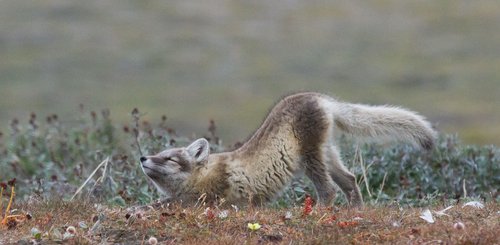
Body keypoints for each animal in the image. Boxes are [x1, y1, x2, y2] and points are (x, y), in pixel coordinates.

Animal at [139, 92, 436, 207]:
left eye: (169, 158)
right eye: (158, 153)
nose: (142, 157)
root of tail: (320, 98)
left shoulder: (210, 199)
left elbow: (161, 204)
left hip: (310, 156)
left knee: (329, 190)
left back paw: (317, 213)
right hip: (326, 152)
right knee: (350, 180)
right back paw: (356, 212)